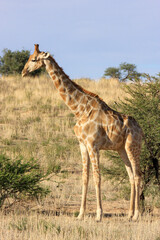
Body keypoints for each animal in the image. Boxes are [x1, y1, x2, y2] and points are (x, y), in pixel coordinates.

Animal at [21, 44, 142, 221]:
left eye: (34, 59)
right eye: (29, 57)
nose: (23, 72)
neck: (79, 110)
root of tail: (141, 129)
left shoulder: (93, 145)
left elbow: (97, 178)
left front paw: (98, 215)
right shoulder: (82, 144)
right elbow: (85, 178)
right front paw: (80, 214)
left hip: (133, 146)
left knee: (138, 175)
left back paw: (137, 215)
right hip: (121, 149)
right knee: (131, 176)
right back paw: (129, 214)